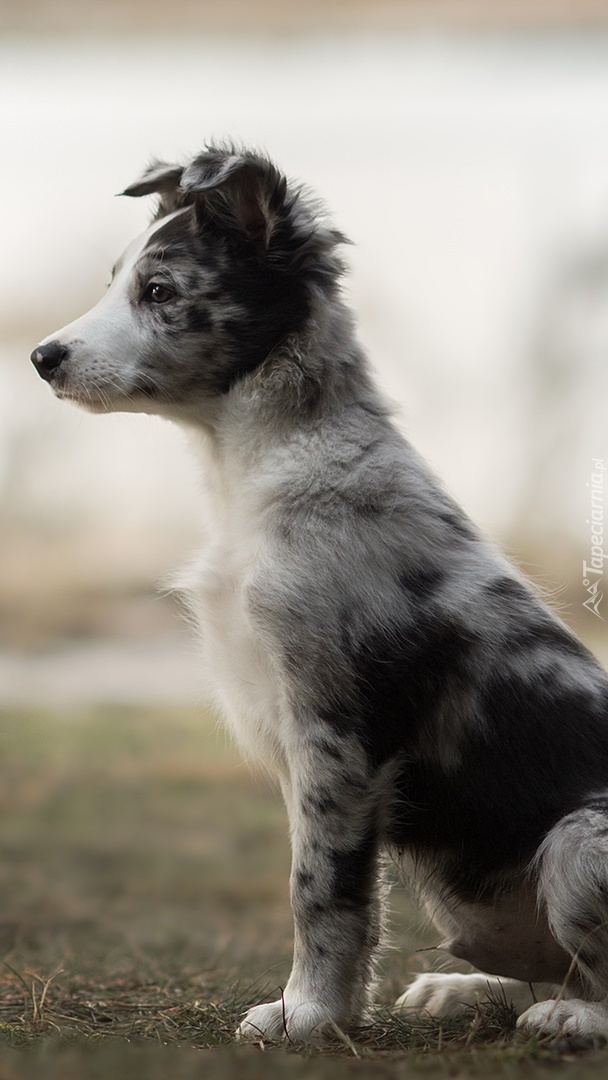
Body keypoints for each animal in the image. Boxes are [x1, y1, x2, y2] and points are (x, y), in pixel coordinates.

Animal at [32, 147, 608, 1041]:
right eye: (114, 282)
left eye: (158, 292)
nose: (42, 357)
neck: (261, 467)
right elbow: (338, 891)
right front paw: (328, 1009)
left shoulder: (336, 730)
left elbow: (324, 890)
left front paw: (307, 1015)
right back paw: (463, 990)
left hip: (583, 839)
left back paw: (570, 1019)